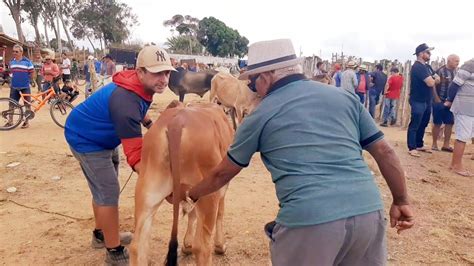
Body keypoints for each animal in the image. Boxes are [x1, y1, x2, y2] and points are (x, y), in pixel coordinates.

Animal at [130, 101, 233, 264]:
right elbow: (220, 213)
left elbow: (191, 213)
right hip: (209, 193)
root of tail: (177, 122)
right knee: (202, 247)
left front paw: (186, 245)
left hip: (148, 192)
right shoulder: (221, 187)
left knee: (137, 246)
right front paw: (220, 246)